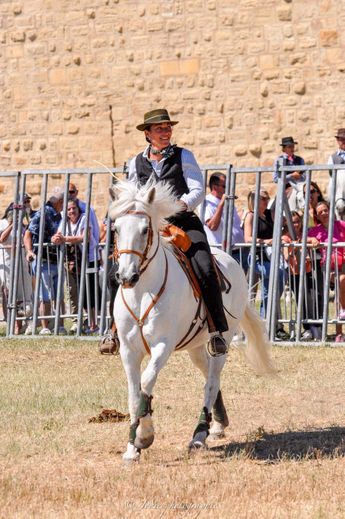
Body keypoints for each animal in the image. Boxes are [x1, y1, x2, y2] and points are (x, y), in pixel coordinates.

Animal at [108, 181, 274, 462]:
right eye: (116, 229)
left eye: (145, 229)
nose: (126, 276)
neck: (142, 292)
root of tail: (230, 259)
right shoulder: (128, 351)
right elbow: (134, 393)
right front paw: (132, 448)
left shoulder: (162, 346)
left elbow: (146, 383)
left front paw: (145, 436)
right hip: (195, 346)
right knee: (208, 375)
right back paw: (217, 424)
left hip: (221, 341)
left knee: (212, 381)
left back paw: (200, 434)